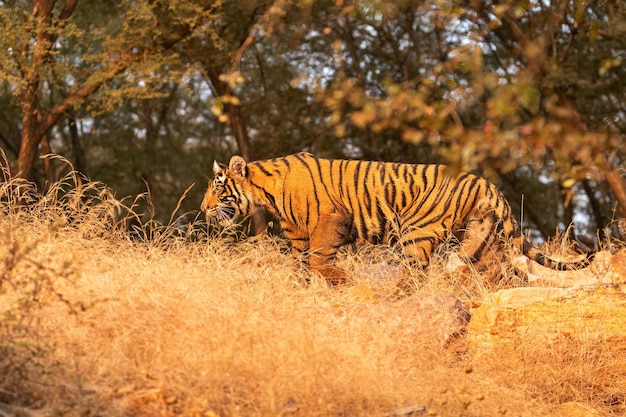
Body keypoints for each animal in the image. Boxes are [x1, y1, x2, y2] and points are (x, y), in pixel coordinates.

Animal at [201, 153, 596, 286]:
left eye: (218, 188)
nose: (203, 208)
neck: (265, 191)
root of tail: (487, 183)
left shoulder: (330, 219)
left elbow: (319, 260)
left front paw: (341, 281)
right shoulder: (298, 236)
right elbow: (300, 267)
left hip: (415, 233)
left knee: (414, 277)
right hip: (480, 242)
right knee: (503, 274)